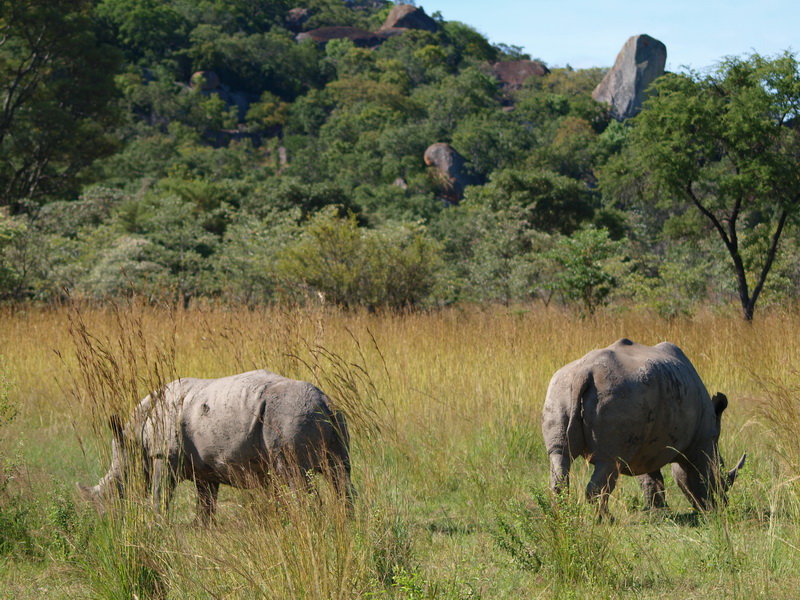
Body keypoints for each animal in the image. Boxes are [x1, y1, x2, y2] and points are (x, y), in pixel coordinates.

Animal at [79, 368, 354, 524]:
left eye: (116, 485)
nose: (106, 521)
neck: (136, 437)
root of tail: (323, 400)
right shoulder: (205, 468)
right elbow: (206, 502)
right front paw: (201, 528)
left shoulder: (162, 456)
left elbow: (160, 495)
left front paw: (155, 523)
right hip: (328, 417)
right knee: (341, 474)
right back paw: (346, 525)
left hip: (288, 415)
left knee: (295, 477)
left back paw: (306, 526)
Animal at [540, 338, 748, 516]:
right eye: (723, 481)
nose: (724, 505)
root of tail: (584, 373)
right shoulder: (703, 441)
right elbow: (702, 472)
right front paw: (708, 510)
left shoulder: (645, 443)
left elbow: (650, 478)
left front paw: (657, 512)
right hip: (617, 395)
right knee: (608, 461)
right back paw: (605, 520)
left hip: (560, 389)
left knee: (560, 455)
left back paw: (563, 516)